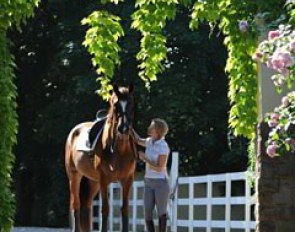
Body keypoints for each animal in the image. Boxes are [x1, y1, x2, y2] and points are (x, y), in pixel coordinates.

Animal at [65, 84, 138, 232]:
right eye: (115, 105)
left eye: (132, 104)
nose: (123, 128)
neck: (119, 151)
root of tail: (73, 132)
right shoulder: (104, 180)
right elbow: (105, 209)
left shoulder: (128, 180)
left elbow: (125, 209)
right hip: (74, 175)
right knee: (76, 204)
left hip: (93, 181)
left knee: (87, 205)